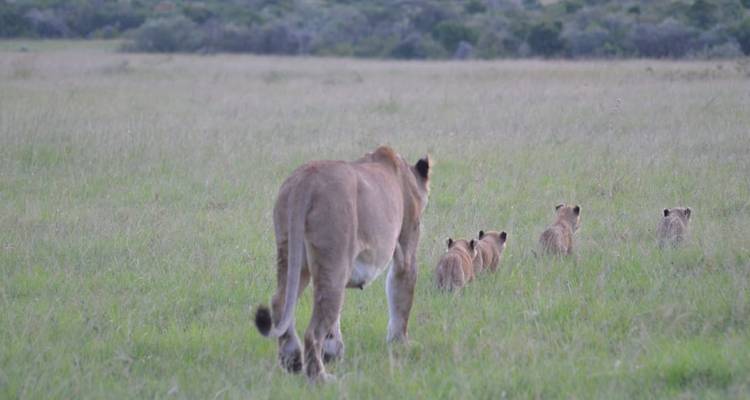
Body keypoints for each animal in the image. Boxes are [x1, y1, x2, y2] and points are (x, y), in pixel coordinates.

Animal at [253, 146, 431, 383]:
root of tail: (305, 179)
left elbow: (335, 322)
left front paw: (332, 353)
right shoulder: (406, 249)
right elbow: (401, 297)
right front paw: (401, 344)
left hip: (292, 255)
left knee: (280, 302)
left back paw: (292, 360)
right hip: (334, 257)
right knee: (313, 331)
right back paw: (321, 378)